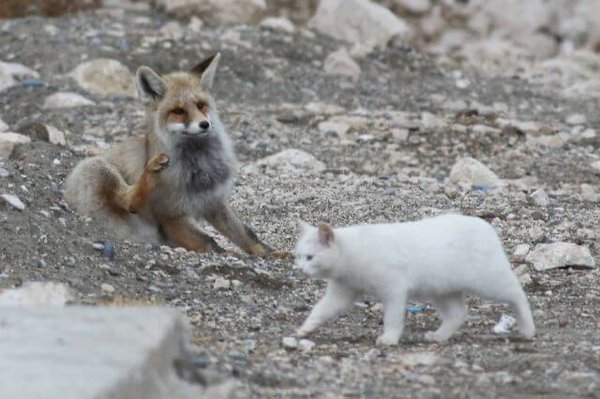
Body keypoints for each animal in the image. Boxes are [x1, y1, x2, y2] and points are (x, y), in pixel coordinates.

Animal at [63, 53, 274, 256]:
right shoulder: (170, 215)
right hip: (98, 169)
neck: (199, 169)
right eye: (178, 111)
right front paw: (227, 253)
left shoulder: (213, 201)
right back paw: (150, 171)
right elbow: (209, 243)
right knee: (129, 201)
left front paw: (272, 254)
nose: (205, 124)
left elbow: (247, 235)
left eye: (201, 105)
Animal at [292, 212, 536, 346]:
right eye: (298, 256)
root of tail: (485, 225)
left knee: (517, 293)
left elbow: (392, 318)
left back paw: (528, 328)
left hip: (488, 281)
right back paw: (439, 336)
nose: (300, 268)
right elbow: (321, 309)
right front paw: (305, 329)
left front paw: (389, 338)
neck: (352, 252)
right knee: (458, 313)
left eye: (310, 257)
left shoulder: (394, 289)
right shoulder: (343, 291)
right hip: (442, 290)